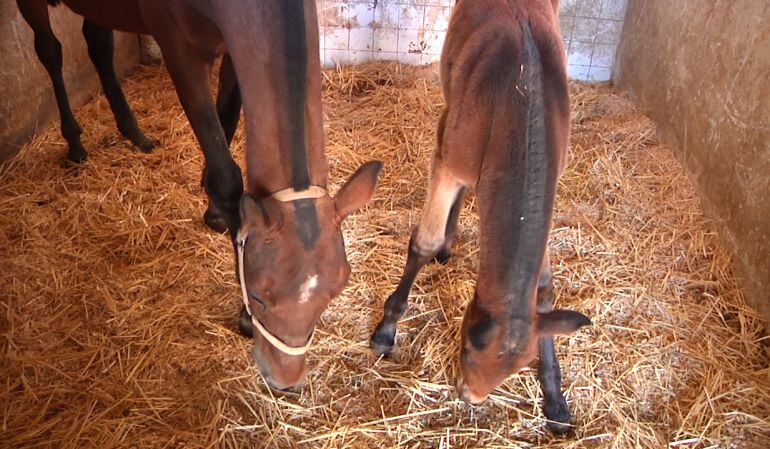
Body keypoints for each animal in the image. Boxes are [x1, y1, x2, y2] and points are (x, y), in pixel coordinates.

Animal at [21, 0, 384, 388]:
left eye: (335, 292)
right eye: (257, 294)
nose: (284, 378)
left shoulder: (233, 50)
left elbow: (226, 123)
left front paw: (214, 212)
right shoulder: (181, 51)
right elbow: (226, 175)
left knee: (98, 43)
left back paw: (133, 130)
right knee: (50, 50)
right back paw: (74, 141)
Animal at [368, 0, 592, 434]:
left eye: (517, 366)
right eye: (469, 350)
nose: (470, 396)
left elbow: (544, 289)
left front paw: (556, 398)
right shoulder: (447, 160)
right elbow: (423, 242)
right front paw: (386, 330)